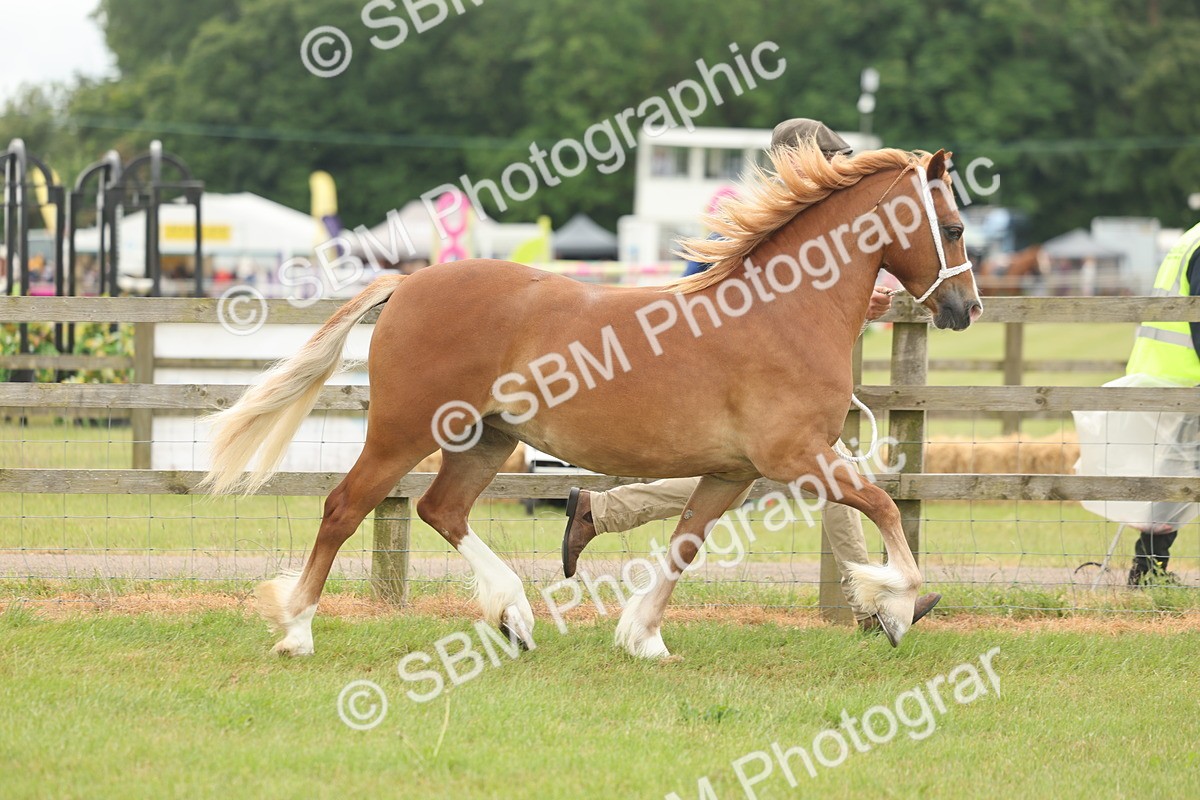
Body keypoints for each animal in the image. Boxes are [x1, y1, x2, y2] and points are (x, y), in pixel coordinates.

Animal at [202, 141, 982, 658]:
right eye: (953, 228)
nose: (966, 309)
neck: (782, 311)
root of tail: (408, 282)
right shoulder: (799, 458)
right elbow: (885, 508)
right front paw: (896, 605)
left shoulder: (733, 471)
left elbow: (686, 542)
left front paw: (642, 637)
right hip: (403, 432)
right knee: (345, 508)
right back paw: (297, 631)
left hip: (485, 438)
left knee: (440, 510)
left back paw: (514, 616)